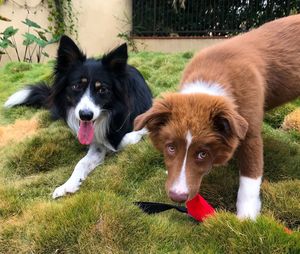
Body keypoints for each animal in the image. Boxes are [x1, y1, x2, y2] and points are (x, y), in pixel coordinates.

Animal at [5, 35, 152, 198]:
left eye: (102, 89)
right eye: (76, 86)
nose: (85, 116)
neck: (112, 114)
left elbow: (126, 138)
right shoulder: (96, 143)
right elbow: (82, 162)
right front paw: (68, 184)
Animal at [135, 14, 300, 219]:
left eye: (202, 153)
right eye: (170, 147)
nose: (177, 197)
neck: (210, 78)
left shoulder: (251, 132)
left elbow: (250, 178)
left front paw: (246, 218)